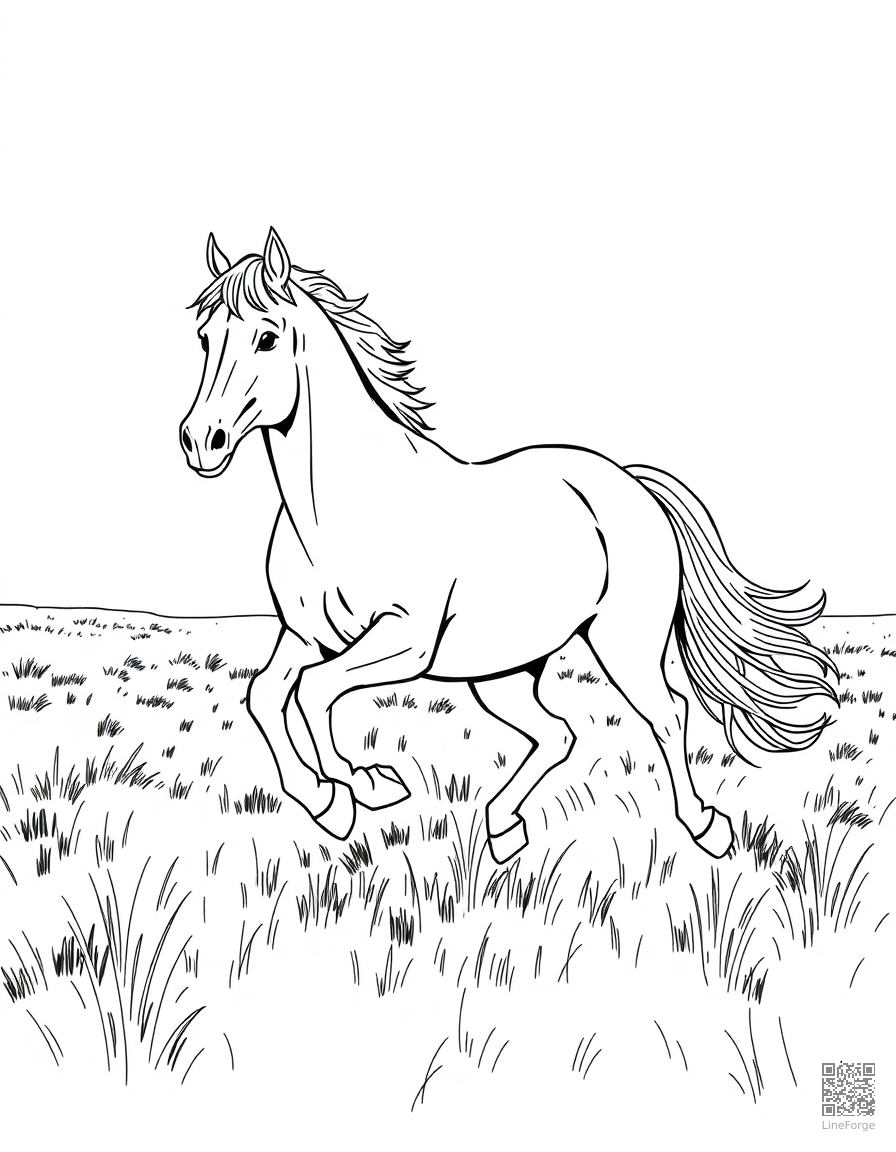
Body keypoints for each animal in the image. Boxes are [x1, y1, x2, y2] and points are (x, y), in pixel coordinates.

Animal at [179, 227, 838, 864]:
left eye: (267, 338)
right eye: (204, 338)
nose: (201, 441)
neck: (343, 510)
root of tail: (631, 484)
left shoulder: (404, 641)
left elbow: (315, 693)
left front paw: (362, 785)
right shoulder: (305, 634)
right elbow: (265, 695)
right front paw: (328, 802)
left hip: (621, 645)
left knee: (665, 714)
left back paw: (705, 827)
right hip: (502, 671)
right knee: (558, 733)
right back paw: (501, 828)